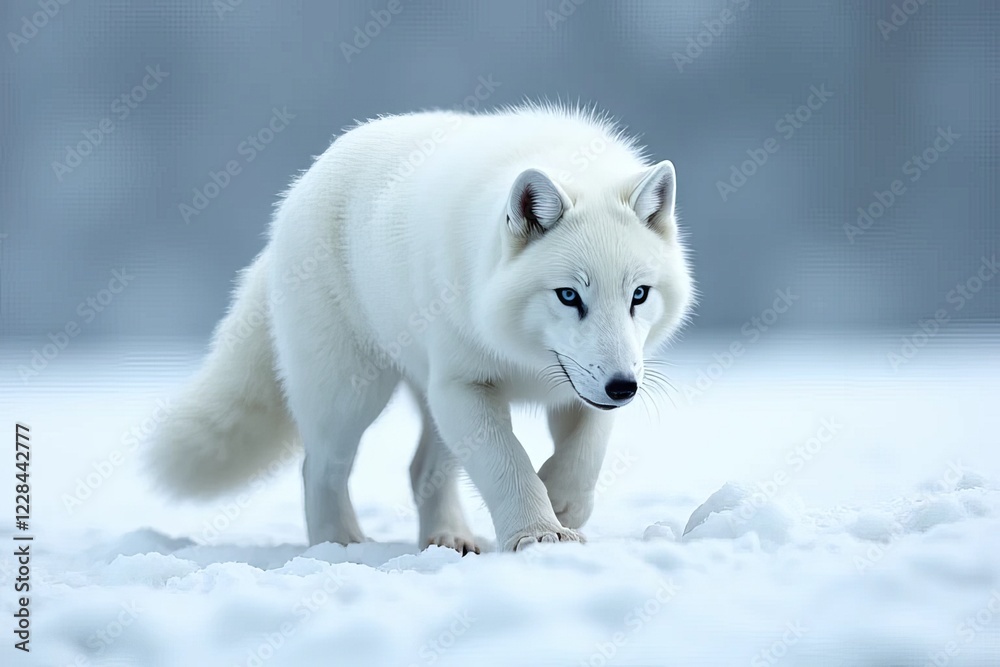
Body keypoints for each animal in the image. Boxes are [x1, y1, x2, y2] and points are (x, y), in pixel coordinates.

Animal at [148, 104, 695, 553]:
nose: (623, 388)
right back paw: (338, 544)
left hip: (427, 400)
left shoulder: (577, 389)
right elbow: (509, 464)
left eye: (638, 295)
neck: (523, 359)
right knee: (319, 467)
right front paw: (537, 534)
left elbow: (584, 457)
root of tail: (304, 182)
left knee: (421, 470)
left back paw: (449, 537)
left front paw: (561, 504)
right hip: (353, 395)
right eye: (569, 296)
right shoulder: (465, 385)